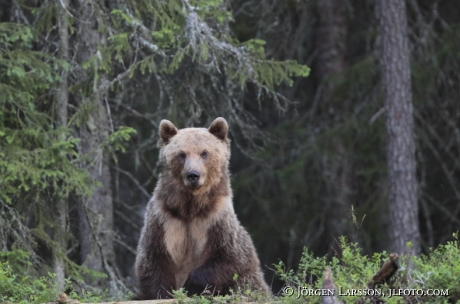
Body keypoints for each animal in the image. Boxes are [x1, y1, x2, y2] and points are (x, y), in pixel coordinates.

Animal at [134, 117, 270, 300]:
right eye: (181, 154)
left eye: (204, 153)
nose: (193, 175)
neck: (190, 209)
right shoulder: (164, 219)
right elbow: (153, 261)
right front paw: (164, 293)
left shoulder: (215, 219)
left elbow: (232, 257)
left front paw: (190, 286)